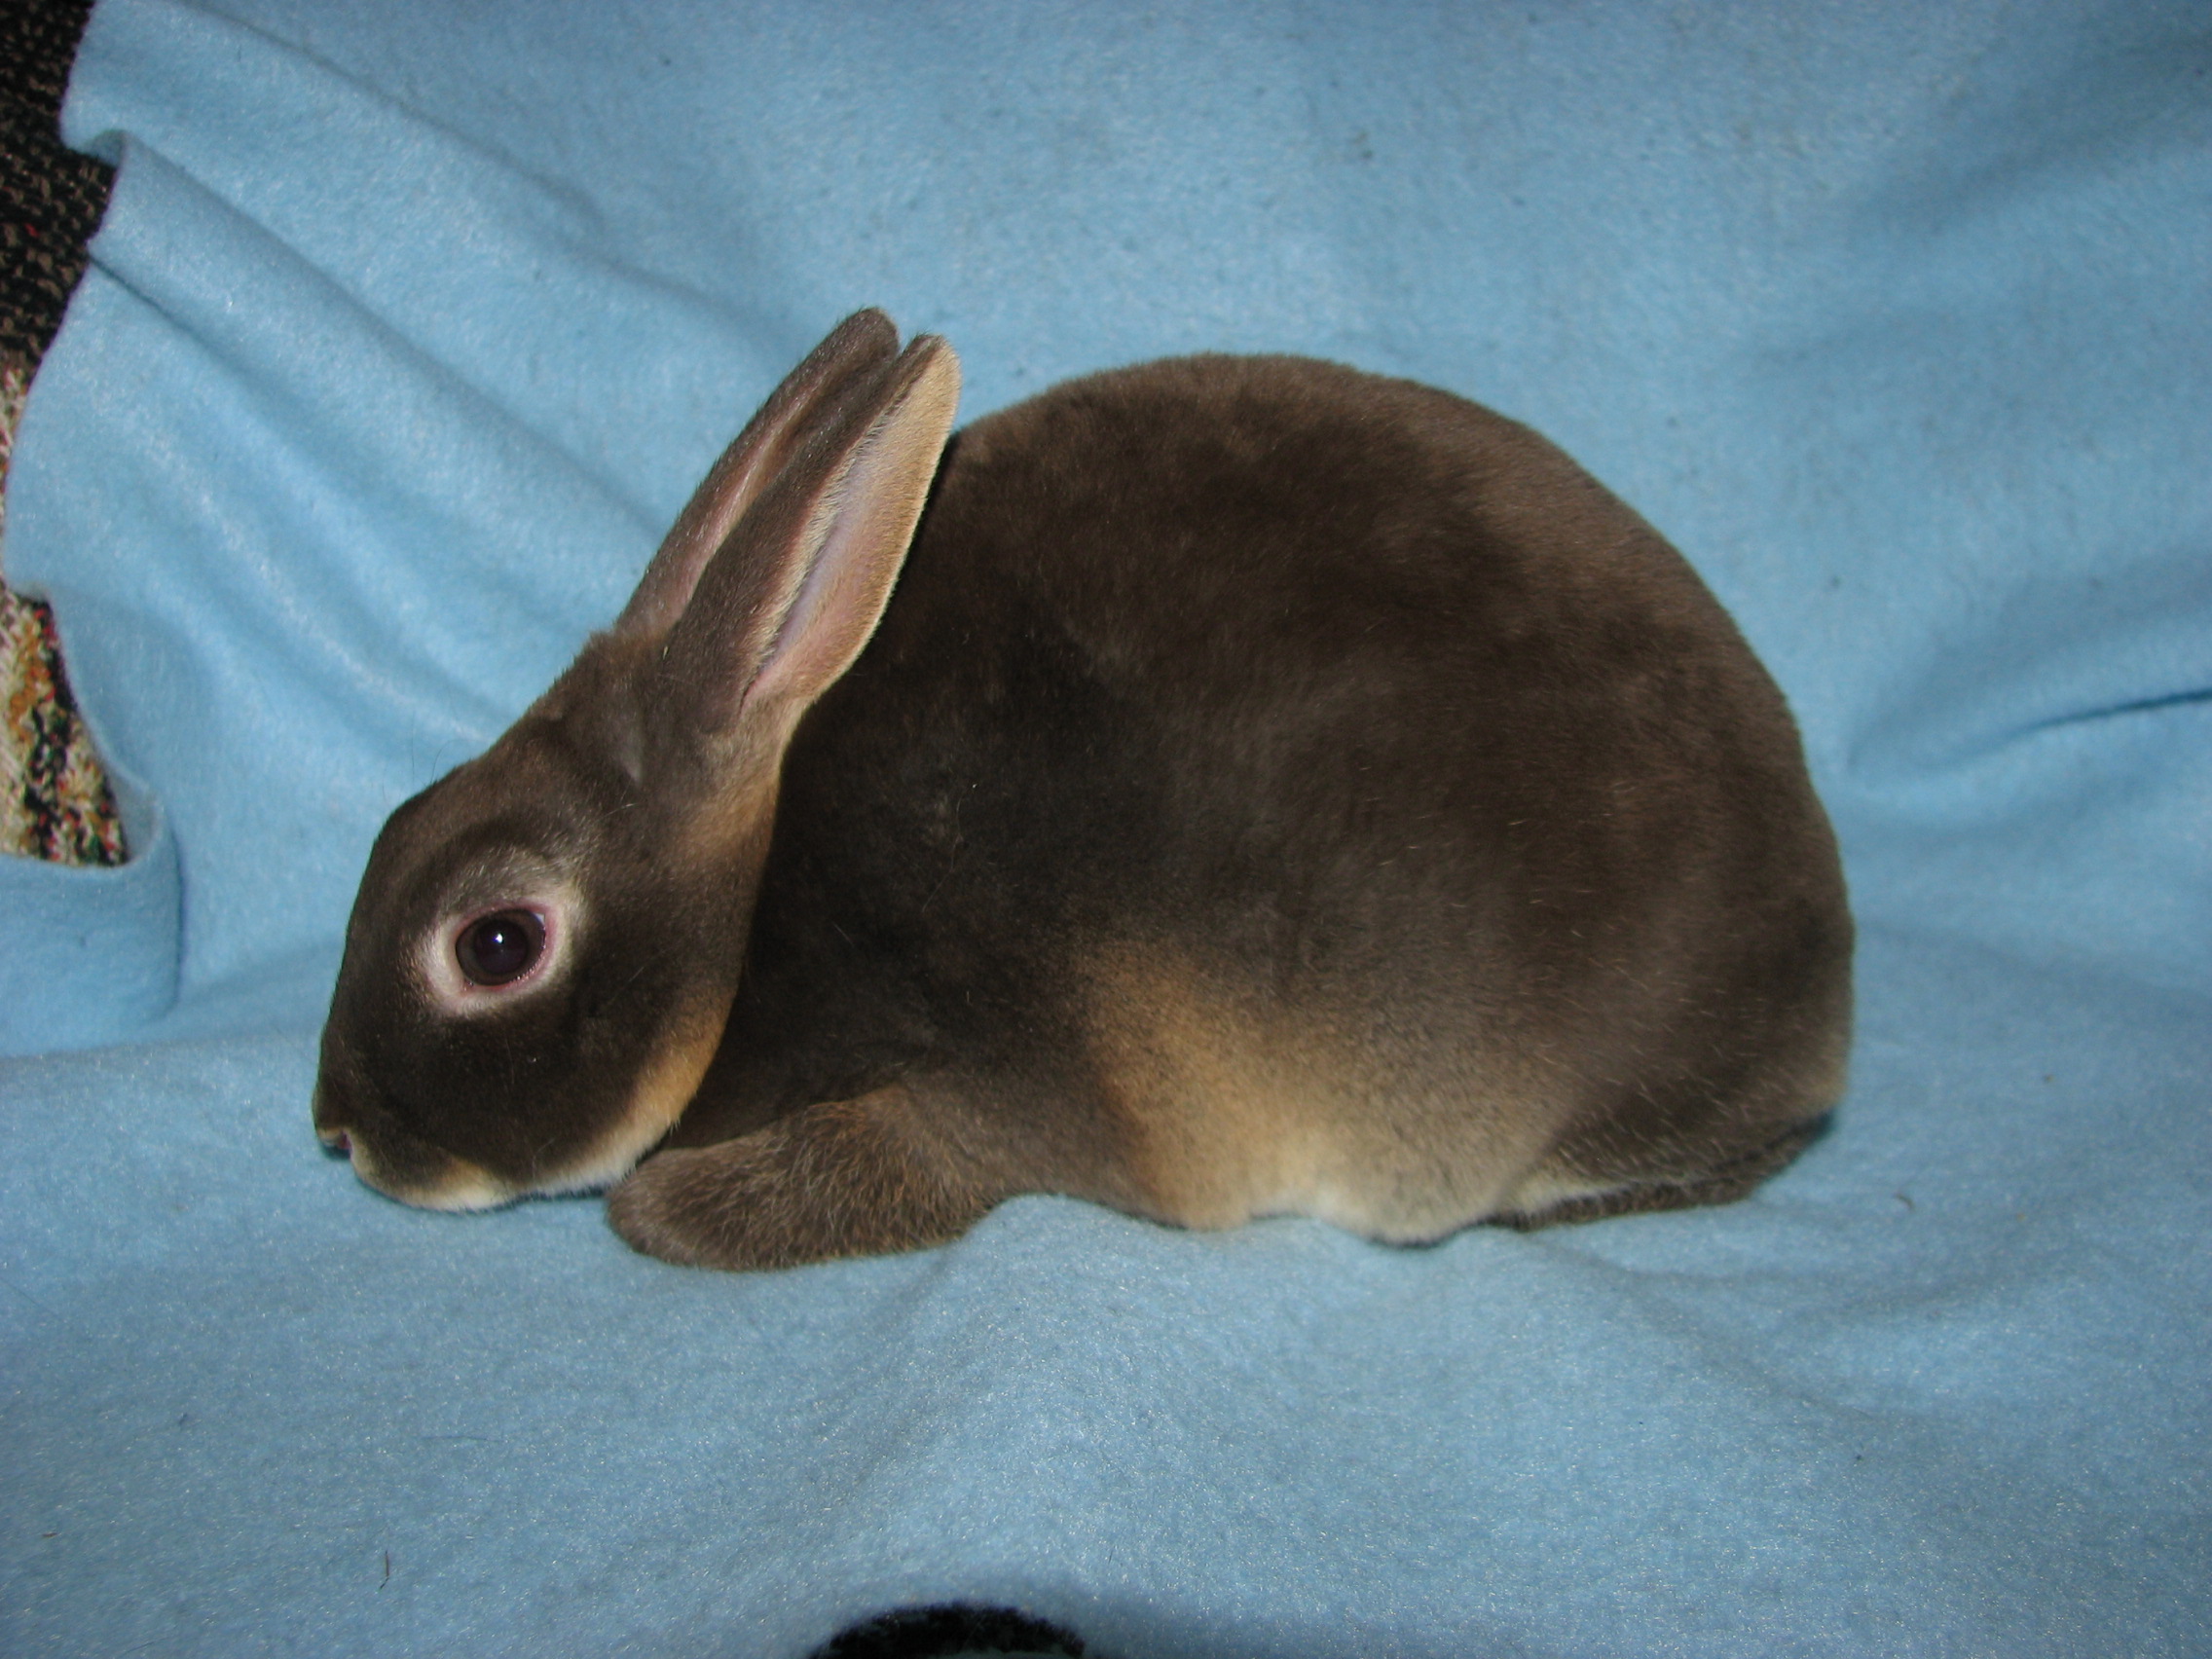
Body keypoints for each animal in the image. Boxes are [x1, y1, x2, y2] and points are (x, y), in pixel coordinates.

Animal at [314, 308, 1852, 1271]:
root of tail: (1827, 998)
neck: (746, 922)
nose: (338, 1134)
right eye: (391, 825)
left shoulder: (975, 1088)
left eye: (493, 944)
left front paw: (665, 1206)